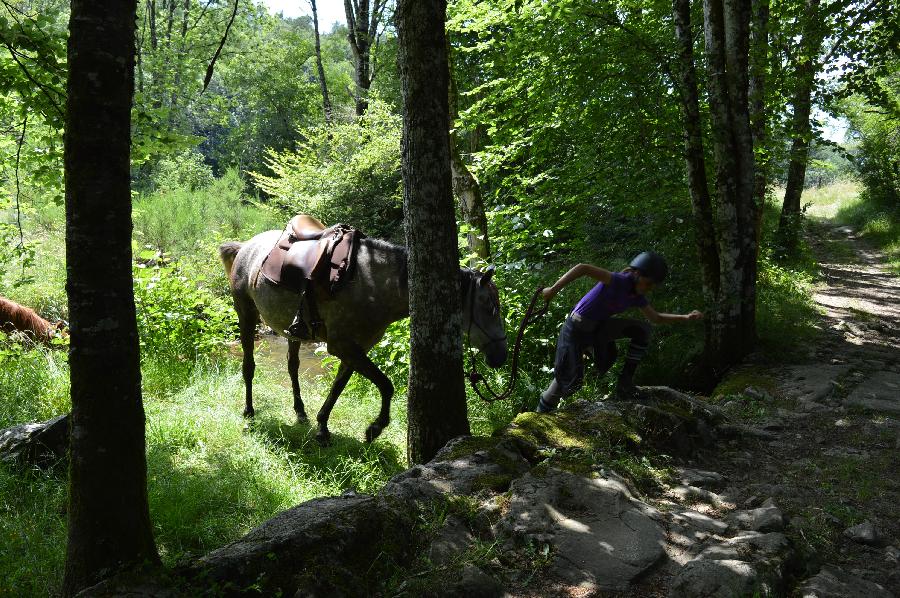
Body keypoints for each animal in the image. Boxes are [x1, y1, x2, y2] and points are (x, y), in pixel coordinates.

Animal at [220, 219, 506, 446]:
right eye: (490, 307)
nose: (500, 356)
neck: (371, 285)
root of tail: (246, 246)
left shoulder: (356, 349)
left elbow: (338, 387)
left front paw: (322, 427)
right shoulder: (343, 347)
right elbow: (386, 384)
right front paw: (374, 429)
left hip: (292, 331)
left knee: (292, 366)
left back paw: (300, 412)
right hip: (246, 315)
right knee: (249, 365)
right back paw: (249, 410)